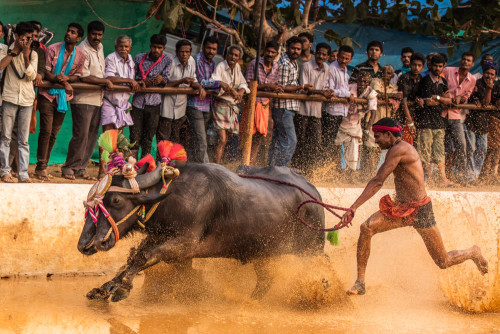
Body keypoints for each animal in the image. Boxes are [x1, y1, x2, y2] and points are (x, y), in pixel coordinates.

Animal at [76, 163, 326, 302]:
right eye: (90, 204)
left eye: (116, 200)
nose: (88, 243)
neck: (170, 199)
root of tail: (313, 193)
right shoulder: (159, 237)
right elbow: (135, 258)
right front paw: (103, 288)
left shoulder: (186, 243)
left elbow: (144, 257)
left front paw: (122, 287)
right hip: (263, 253)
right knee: (266, 280)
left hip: (311, 250)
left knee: (319, 269)